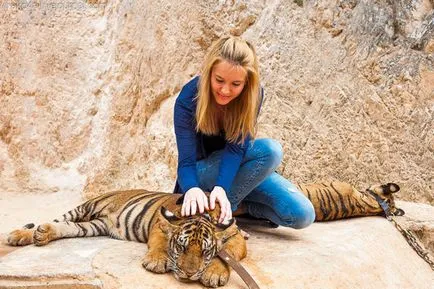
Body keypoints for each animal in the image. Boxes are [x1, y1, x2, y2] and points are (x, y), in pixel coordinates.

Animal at [6, 181, 406, 284]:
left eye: (204, 251)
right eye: (181, 248)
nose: (185, 275)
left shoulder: (234, 241)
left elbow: (230, 258)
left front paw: (213, 273)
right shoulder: (161, 226)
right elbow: (156, 243)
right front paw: (156, 262)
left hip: (91, 225)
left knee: (61, 227)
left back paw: (38, 236)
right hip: (87, 210)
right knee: (51, 219)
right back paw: (19, 236)